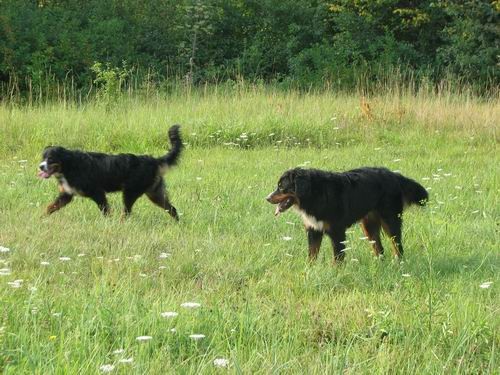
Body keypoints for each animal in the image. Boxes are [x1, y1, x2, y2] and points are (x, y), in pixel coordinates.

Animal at [38, 125, 184, 220]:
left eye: (50, 159)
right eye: (42, 158)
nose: (40, 167)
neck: (69, 166)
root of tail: (153, 160)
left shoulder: (97, 192)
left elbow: (105, 210)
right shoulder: (66, 195)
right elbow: (49, 207)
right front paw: (40, 218)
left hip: (130, 192)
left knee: (126, 212)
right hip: (155, 193)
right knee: (172, 209)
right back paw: (177, 223)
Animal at [268, 169, 428, 262]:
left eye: (281, 187)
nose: (267, 198)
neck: (316, 194)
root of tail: (394, 174)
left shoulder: (337, 231)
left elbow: (338, 258)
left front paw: (336, 273)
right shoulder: (314, 230)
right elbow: (312, 255)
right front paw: (310, 272)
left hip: (390, 221)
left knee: (397, 246)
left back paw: (399, 263)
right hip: (368, 225)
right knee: (379, 249)